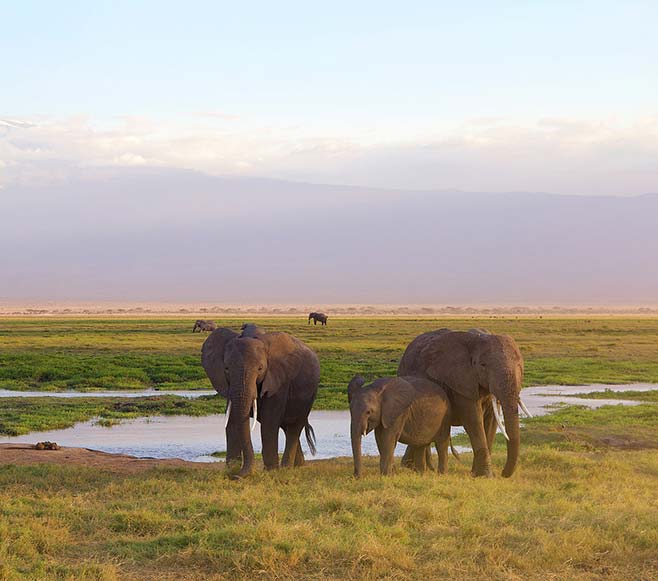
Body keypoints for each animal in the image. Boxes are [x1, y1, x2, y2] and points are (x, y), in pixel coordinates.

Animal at [202, 324, 320, 478]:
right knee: (286, 427)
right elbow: (233, 420)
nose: (236, 476)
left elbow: (269, 423)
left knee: (294, 427)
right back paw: (298, 465)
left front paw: (271, 471)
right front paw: (230, 470)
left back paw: (287, 468)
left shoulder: (278, 381)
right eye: (226, 369)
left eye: (260, 368)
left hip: (308, 396)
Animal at [398, 328, 532, 478]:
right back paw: (413, 468)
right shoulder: (460, 381)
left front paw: (478, 474)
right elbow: (473, 420)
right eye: (483, 365)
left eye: (520, 366)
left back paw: (419, 467)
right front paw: (486, 475)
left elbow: (492, 421)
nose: (503, 473)